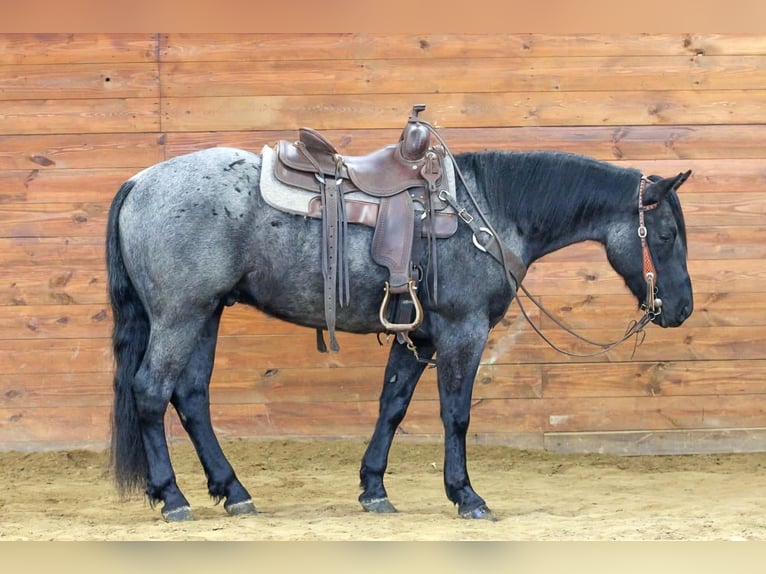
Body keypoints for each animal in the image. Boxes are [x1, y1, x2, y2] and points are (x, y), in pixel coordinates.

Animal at [106, 144, 693, 522]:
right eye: (664, 234)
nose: (682, 308)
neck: (489, 211)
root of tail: (140, 182)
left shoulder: (422, 338)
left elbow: (392, 406)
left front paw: (373, 488)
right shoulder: (462, 331)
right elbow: (456, 415)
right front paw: (466, 496)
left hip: (205, 314)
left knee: (191, 397)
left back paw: (233, 492)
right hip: (180, 316)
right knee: (151, 392)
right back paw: (173, 497)